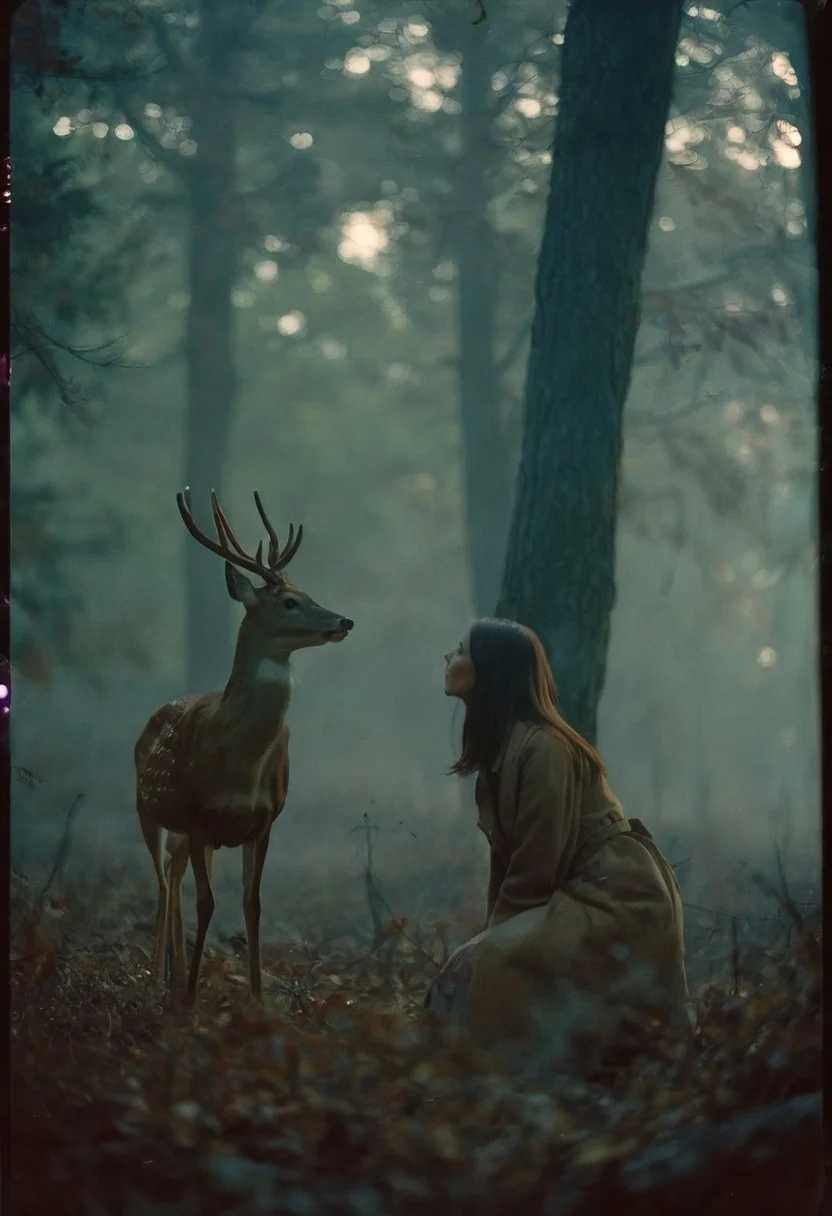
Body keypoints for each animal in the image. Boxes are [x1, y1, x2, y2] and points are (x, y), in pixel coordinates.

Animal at [134, 488, 353, 1004]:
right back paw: (158, 978)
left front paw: (257, 997)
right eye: (290, 602)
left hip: (186, 834)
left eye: (308, 593)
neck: (239, 761)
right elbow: (207, 902)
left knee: (173, 875)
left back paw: (173, 974)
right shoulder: (197, 815)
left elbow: (252, 903)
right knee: (163, 881)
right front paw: (191, 999)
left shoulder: (265, 819)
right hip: (148, 809)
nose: (344, 620)